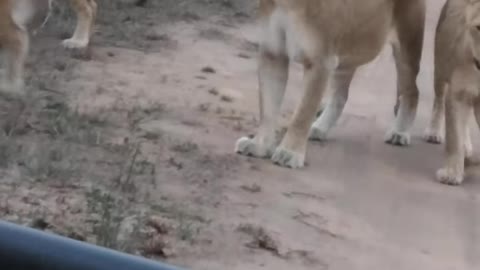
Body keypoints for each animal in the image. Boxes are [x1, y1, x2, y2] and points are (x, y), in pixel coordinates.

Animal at [234, 0, 426, 169]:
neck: (288, 3)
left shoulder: (319, 62)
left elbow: (302, 113)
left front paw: (289, 153)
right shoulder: (272, 54)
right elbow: (267, 109)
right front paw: (258, 146)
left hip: (406, 49)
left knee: (413, 92)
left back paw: (399, 133)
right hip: (344, 59)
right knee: (340, 96)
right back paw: (319, 128)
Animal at [430, 0, 480, 185]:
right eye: (478, 28)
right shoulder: (457, 92)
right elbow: (454, 136)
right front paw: (452, 174)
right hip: (440, 70)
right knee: (438, 102)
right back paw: (433, 132)